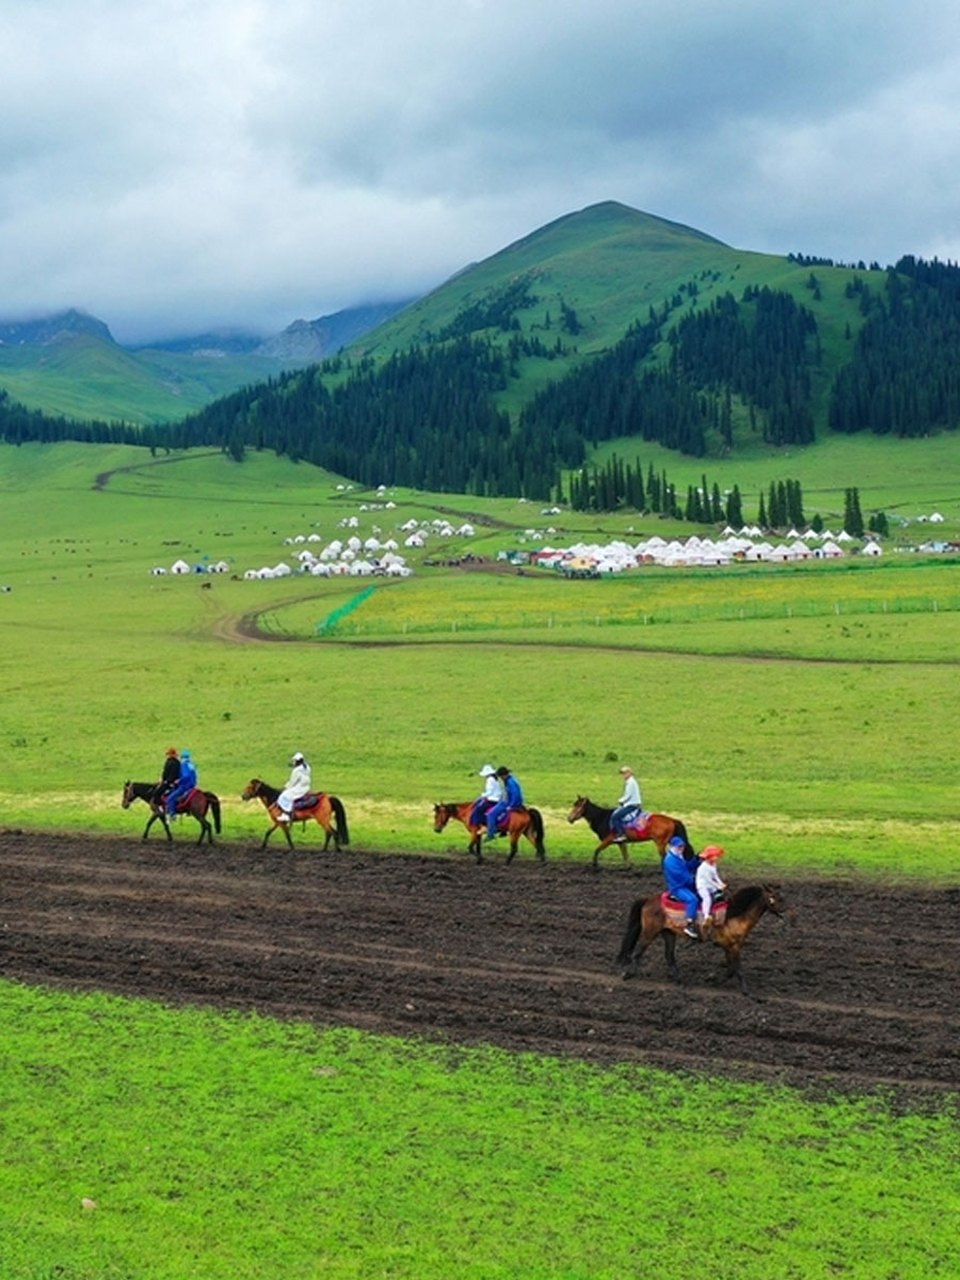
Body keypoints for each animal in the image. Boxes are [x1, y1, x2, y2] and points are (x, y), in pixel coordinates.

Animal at [568, 793, 696, 875]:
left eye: (578, 806)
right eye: (574, 805)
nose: (569, 818)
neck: (603, 817)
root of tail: (672, 820)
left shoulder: (608, 840)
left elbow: (597, 850)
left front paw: (595, 866)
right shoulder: (621, 842)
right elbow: (625, 855)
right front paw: (628, 868)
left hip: (660, 843)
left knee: (664, 857)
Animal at [616, 885, 788, 993]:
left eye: (782, 897)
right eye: (775, 898)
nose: (785, 911)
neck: (734, 916)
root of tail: (648, 899)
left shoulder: (729, 947)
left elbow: (730, 970)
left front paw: (712, 980)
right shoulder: (733, 947)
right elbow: (736, 969)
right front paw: (746, 991)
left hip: (668, 933)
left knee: (669, 956)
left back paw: (679, 981)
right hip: (649, 932)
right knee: (637, 953)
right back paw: (629, 974)